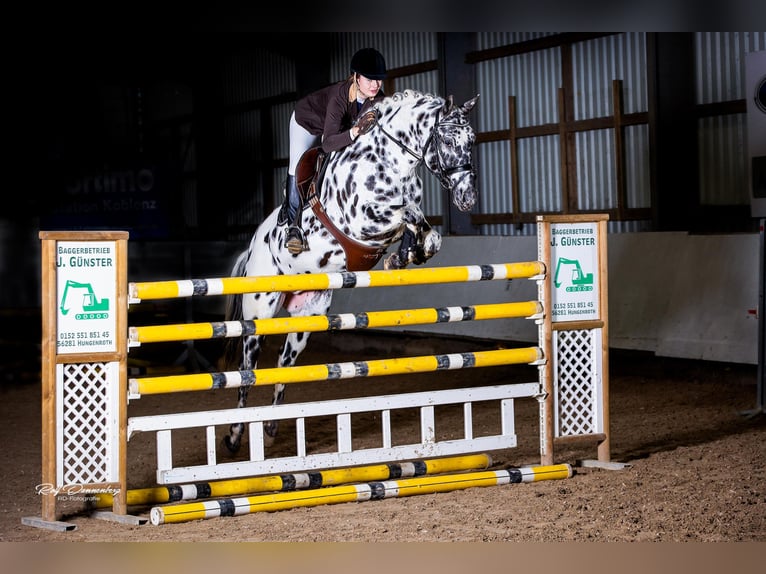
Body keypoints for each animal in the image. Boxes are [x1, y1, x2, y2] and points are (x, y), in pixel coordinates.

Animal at [219, 89, 480, 454]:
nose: (467, 198)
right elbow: (406, 213)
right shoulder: (365, 219)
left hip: (306, 317)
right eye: (445, 138)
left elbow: (426, 232)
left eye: (471, 139)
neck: (392, 162)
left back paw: (270, 428)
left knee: (283, 366)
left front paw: (405, 256)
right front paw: (405, 252)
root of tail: (253, 244)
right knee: (247, 372)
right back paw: (234, 436)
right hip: (259, 314)